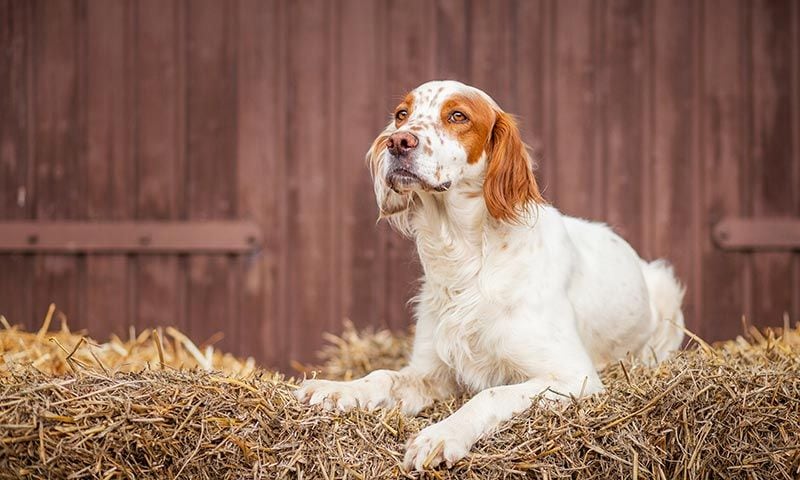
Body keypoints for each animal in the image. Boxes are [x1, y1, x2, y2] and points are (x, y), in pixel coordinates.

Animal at [296, 80, 684, 470]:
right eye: (402, 115)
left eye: (458, 116)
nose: (398, 141)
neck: (467, 257)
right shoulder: (432, 371)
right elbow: (382, 376)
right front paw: (336, 388)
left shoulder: (574, 376)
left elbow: (491, 394)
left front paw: (442, 435)